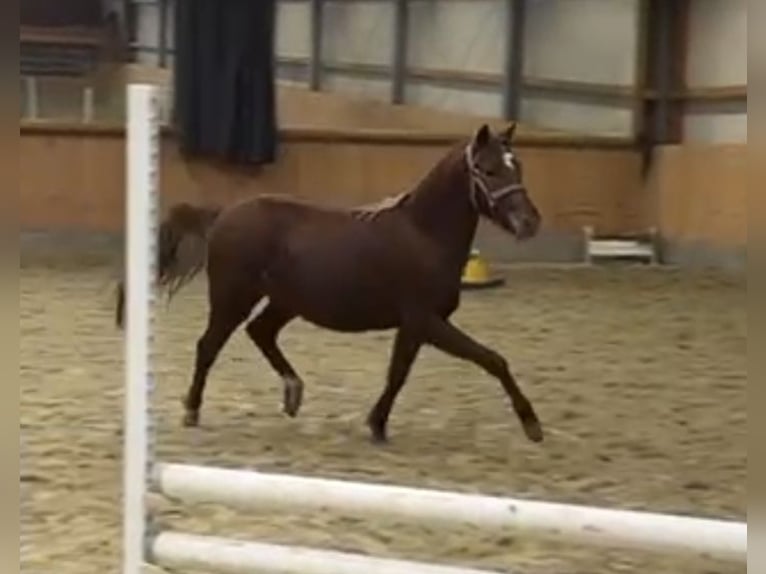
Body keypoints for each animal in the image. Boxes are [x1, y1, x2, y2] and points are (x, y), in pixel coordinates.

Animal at [115, 121, 544, 446]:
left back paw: (293, 393)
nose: (529, 223)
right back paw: (192, 409)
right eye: (488, 169)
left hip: (284, 302)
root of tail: (223, 215)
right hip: (232, 297)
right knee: (209, 346)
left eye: (518, 166)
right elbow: (490, 359)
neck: (423, 234)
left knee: (260, 332)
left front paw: (377, 424)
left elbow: (399, 372)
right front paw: (532, 425)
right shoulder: (425, 320)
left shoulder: (415, 326)